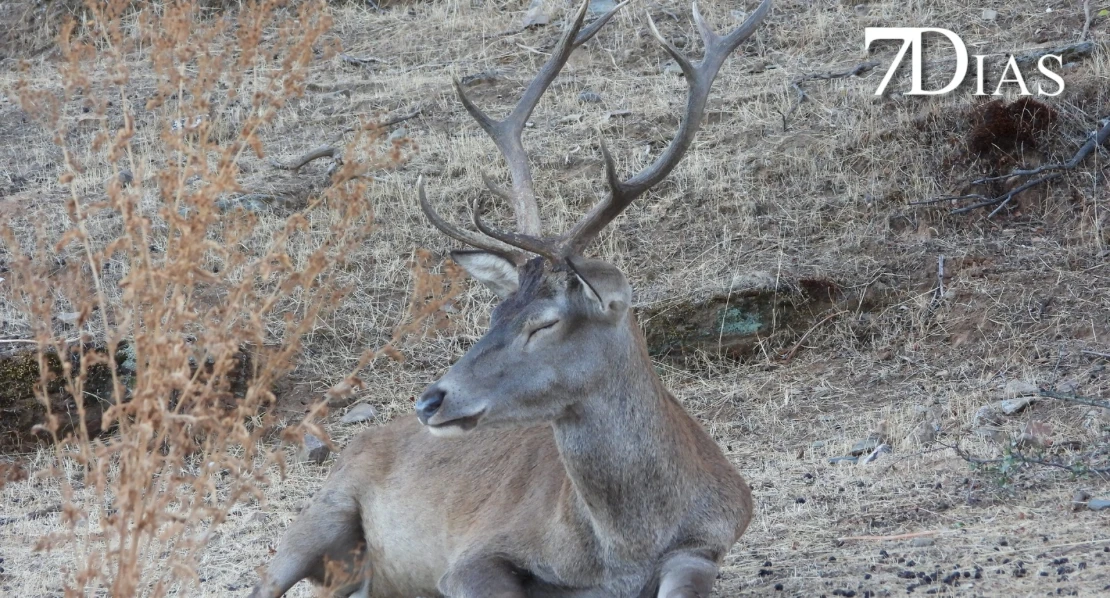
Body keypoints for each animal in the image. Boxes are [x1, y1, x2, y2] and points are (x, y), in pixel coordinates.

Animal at [250, 1, 771, 596]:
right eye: (495, 312)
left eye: (543, 323)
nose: (430, 400)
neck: (624, 551)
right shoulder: (471, 559)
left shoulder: (707, 543)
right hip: (319, 512)